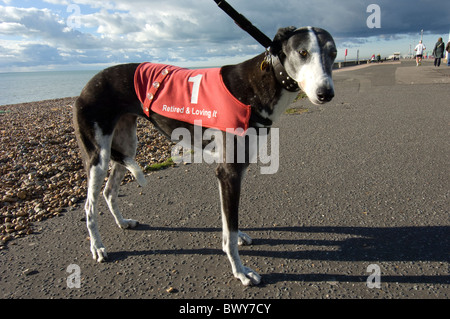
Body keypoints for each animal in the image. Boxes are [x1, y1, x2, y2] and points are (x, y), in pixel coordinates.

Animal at [73, 26, 334, 286]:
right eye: (303, 52)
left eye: (333, 53)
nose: (326, 93)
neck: (256, 86)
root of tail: (88, 84)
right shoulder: (229, 173)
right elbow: (229, 231)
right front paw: (240, 271)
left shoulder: (232, 172)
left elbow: (229, 222)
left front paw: (239, 240)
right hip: (98, 157)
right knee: (89, 206)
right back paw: (97, 247)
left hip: (126, 145)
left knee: (109, 191)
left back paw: (122, 223)